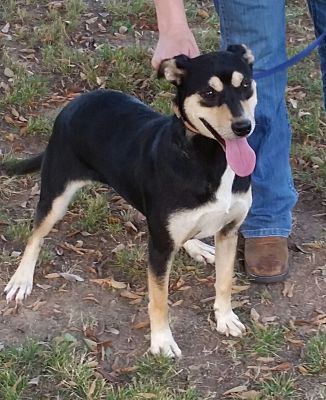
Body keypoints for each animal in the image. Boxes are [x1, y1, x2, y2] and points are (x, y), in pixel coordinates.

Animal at [2, 45, 258, 358]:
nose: (244, 127)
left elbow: (224, 281)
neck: (210, 158)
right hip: (56, 194)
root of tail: (77, 101)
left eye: (245, 85)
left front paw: (225, 317)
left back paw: (196, 246)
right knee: (35, 235)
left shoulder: (229, 231)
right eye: (209, 93)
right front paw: (161, 340)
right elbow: (159, 299)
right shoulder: (159, 249)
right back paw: (21, 278)